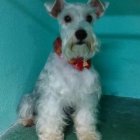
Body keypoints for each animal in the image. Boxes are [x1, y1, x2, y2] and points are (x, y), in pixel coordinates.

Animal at [18, 0, 108, 139]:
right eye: (67, 18)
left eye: (89, 18)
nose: (81, 33)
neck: (74, 62)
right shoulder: (52, 96)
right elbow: (51, 117)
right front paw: (51, 135)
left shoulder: (87, 95)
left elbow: (85, 117)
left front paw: (88, 134)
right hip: (29, 98)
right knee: (26, 111)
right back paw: (28, 120)